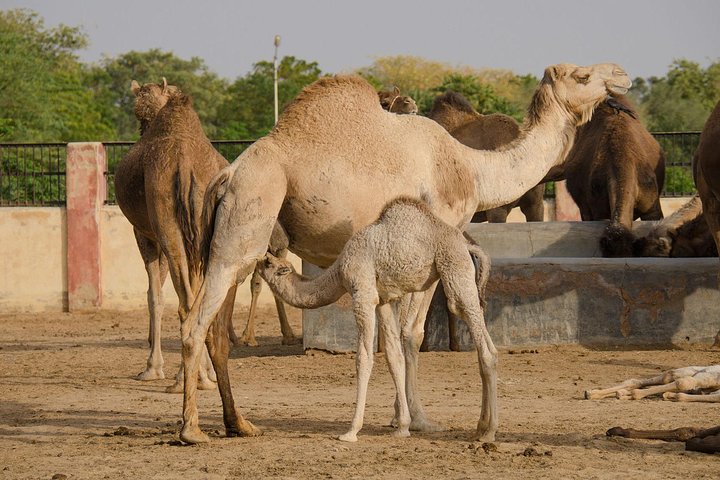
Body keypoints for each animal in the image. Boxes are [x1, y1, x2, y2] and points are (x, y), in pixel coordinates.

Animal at [257, 197, 495, 442]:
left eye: (269, 264)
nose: (261, 258)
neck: (339, 271)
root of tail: (467, 245)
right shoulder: (383, 300)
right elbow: (393, 355)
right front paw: (402, 427)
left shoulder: (362, 294)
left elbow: (363, 357)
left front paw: (351, 431)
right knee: (486, 342)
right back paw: (481, 428)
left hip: (454, 266)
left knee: (482, 346)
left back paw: (488, 432)